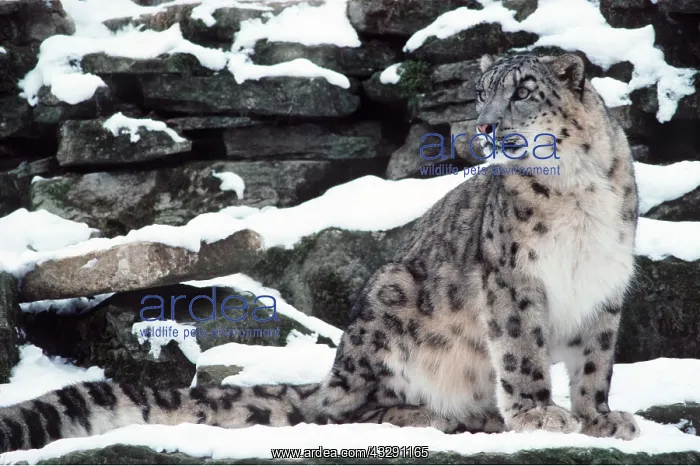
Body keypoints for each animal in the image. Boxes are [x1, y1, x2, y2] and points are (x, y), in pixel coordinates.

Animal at [0, 53, 641, 455]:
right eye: (483, 94)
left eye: (524, 92)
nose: (483, 126)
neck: (577, 190)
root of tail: (333, 373)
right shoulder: (512, 279)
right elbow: (521, 351)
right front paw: (539, 415)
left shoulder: (607, 286)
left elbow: (596, 362)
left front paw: (600, 418)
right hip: (391, 299)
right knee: (347, 411)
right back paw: (439, 414)